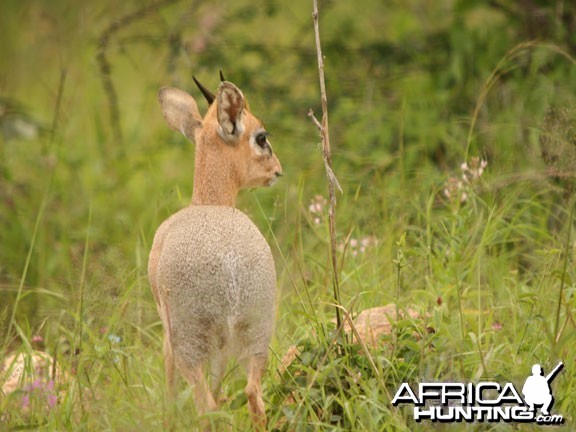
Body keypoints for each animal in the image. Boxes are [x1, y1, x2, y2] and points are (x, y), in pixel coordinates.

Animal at [150, 74, 282, 428]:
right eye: (262, 137)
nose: (277, 171)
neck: (208, 202)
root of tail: (229, 268)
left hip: (192, 344)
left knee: (205, 404)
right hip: (256, 336)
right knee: (252, 395)